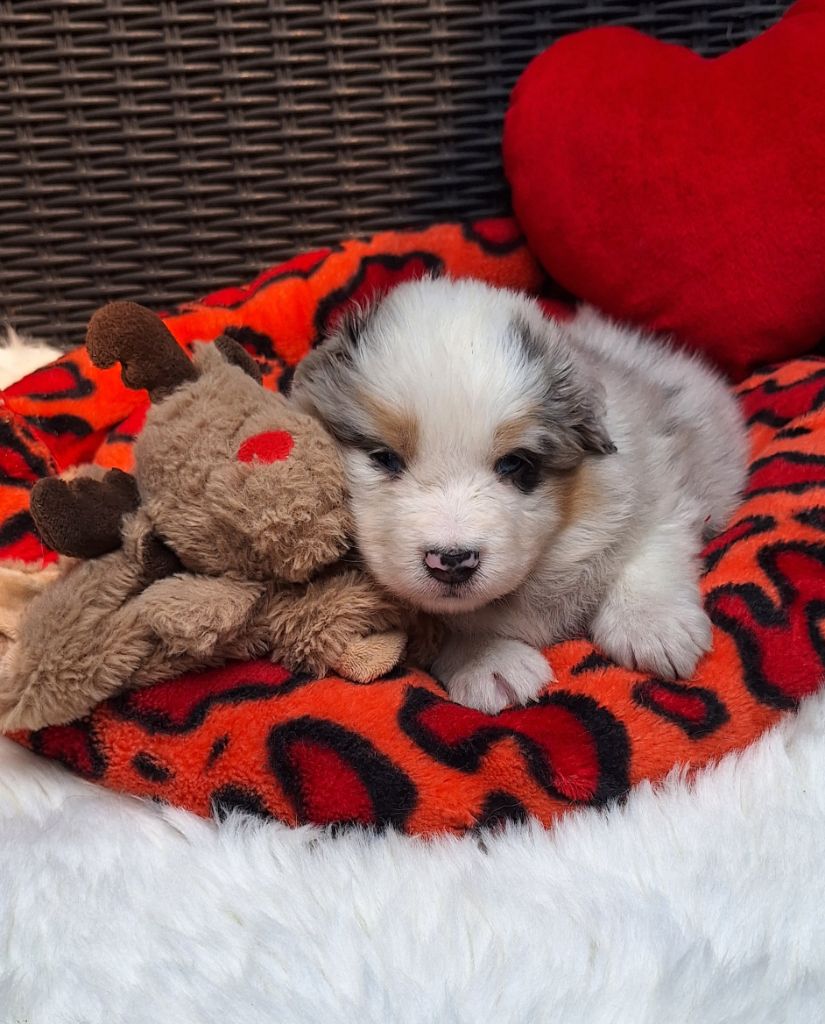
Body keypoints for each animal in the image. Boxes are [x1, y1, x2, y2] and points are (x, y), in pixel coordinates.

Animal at [292, 277, 748, 713]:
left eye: (515, 464)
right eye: (384, 458)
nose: (452, 562)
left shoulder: (657, 482)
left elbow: (653, 546)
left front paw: (652, 625)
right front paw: (490, 662)